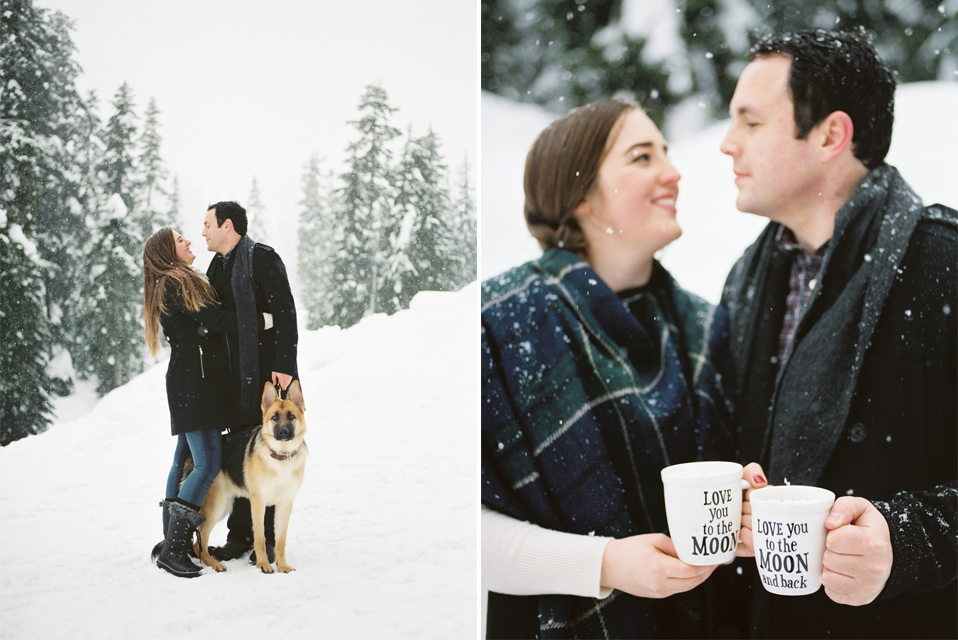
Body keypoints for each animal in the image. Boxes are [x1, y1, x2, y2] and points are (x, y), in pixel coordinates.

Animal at [197, 380, 310, 576]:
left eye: (291, 417)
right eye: (274, 418)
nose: (283, 432)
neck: (281, 457)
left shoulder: (285, 504)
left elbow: (280, 540)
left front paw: (282, 566)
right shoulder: (258, 503)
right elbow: (259, 537)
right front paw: (263, 564)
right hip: (217, 506)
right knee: (200, 538)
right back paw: (213, 563)